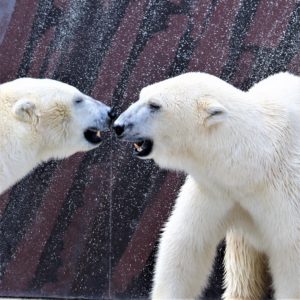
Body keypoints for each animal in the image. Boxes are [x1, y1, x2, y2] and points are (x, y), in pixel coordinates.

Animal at [114, 73, 300, 300]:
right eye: (141, 95)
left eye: (154, 105)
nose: (118, 125)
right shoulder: (216, 191)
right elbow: (186, 244)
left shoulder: (286, 192)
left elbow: (291, 257)